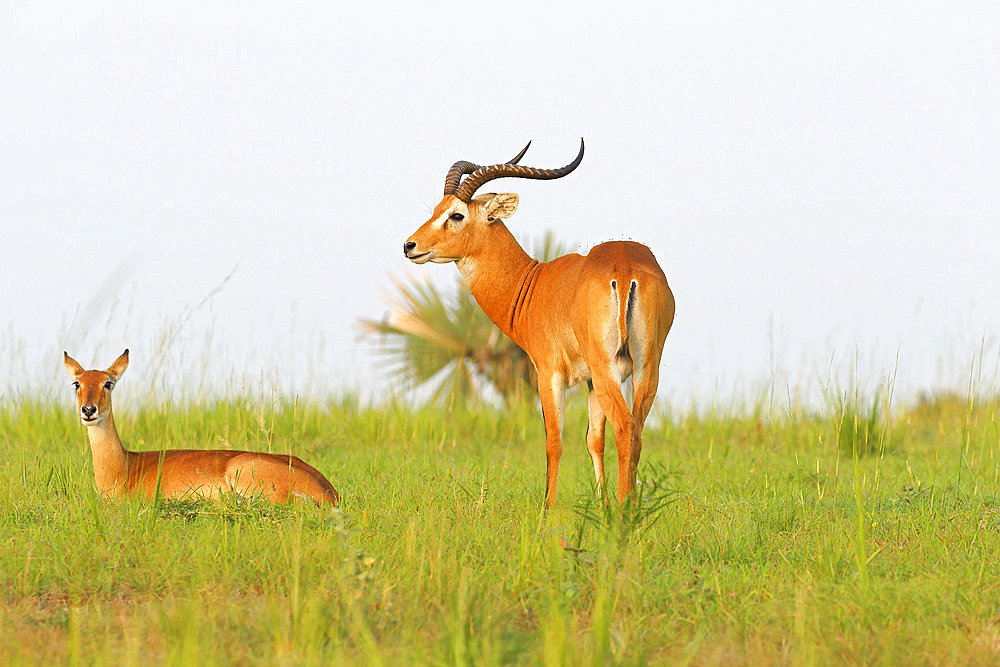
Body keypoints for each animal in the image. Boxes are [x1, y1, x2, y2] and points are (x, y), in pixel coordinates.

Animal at [402, 142, 676, 506]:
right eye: (436, 209)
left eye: (456, 215)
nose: (409, 245)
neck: (531, 284)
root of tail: (625, 270)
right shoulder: (590, 381)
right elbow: (593, 439)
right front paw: (601, 506)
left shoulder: (549, 374)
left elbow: (553, 442)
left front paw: (549, 509)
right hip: (646, 367)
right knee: (637, 430)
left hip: (608, 369)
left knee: (625, 426)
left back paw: (624, 511)